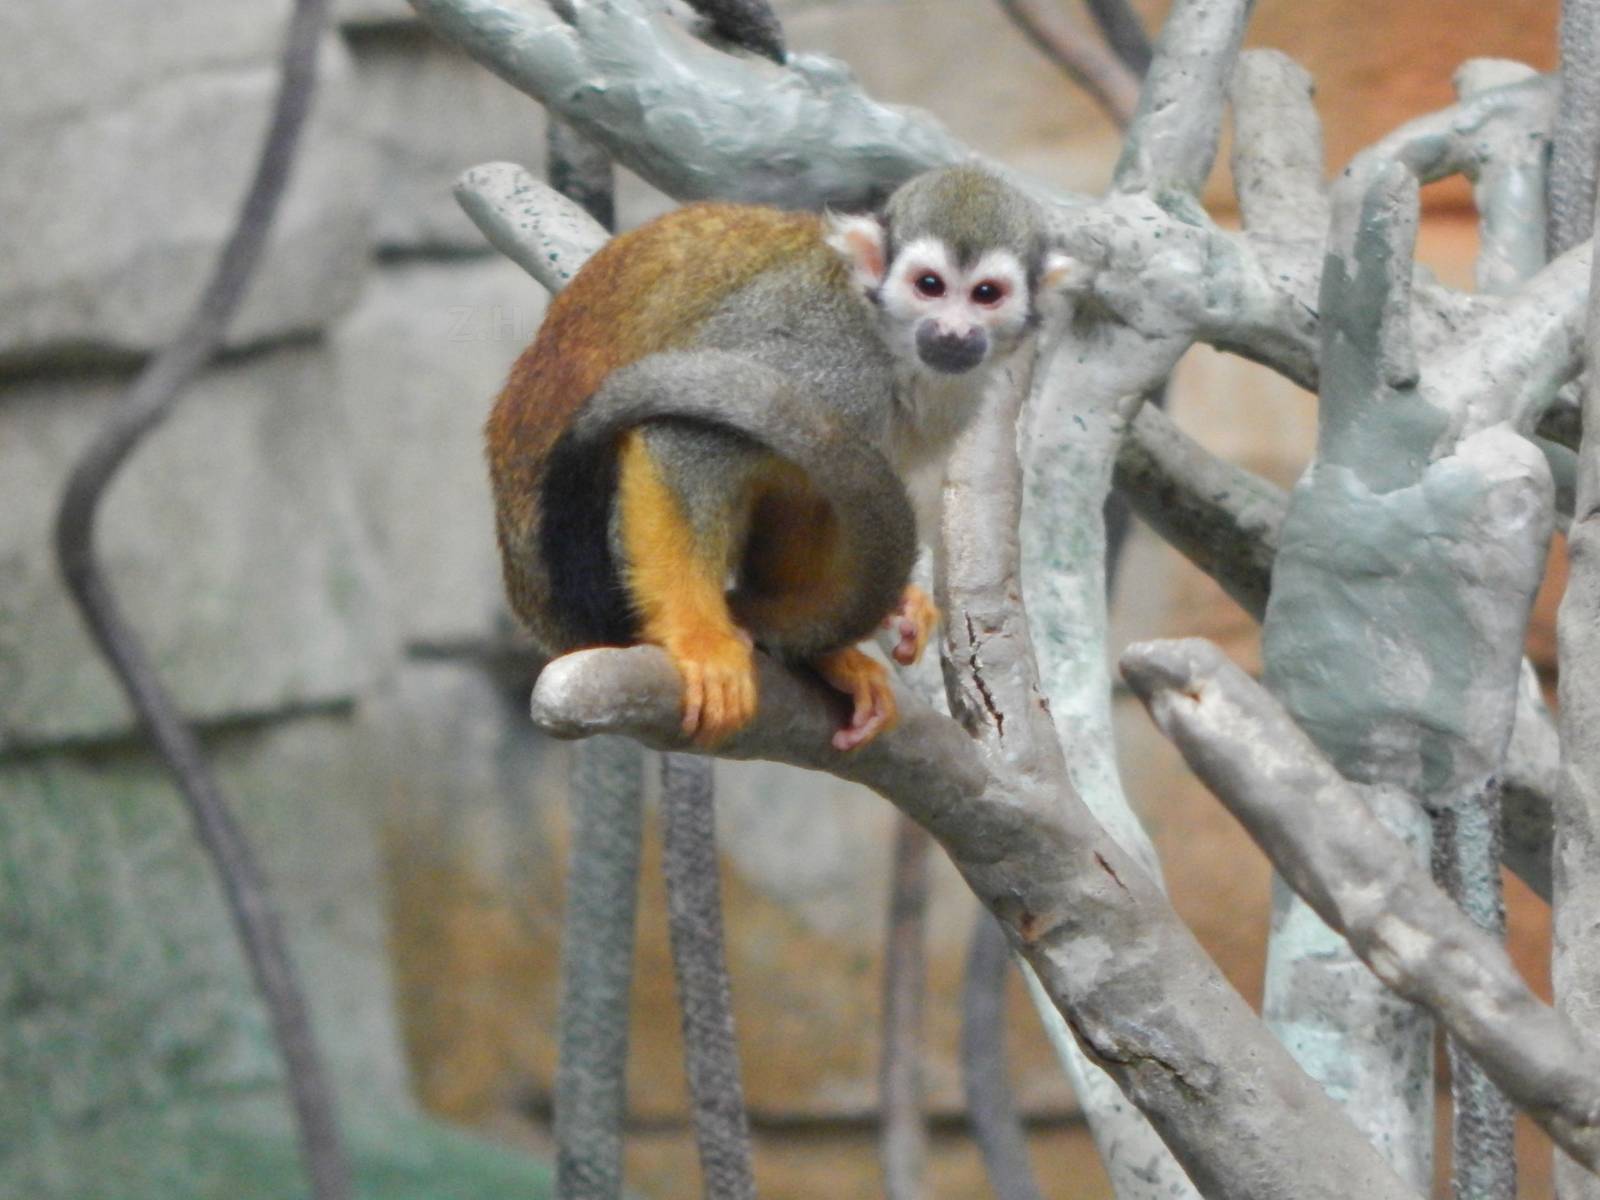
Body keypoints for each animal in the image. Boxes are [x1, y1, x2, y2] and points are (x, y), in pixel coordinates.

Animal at [487, 164, 1065, 750]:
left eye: (987, 294)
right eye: (930, 286)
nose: (954, 332)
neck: (888, 343)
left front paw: (843, 643)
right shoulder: (823, 359)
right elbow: (683, 444)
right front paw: (700, 640)